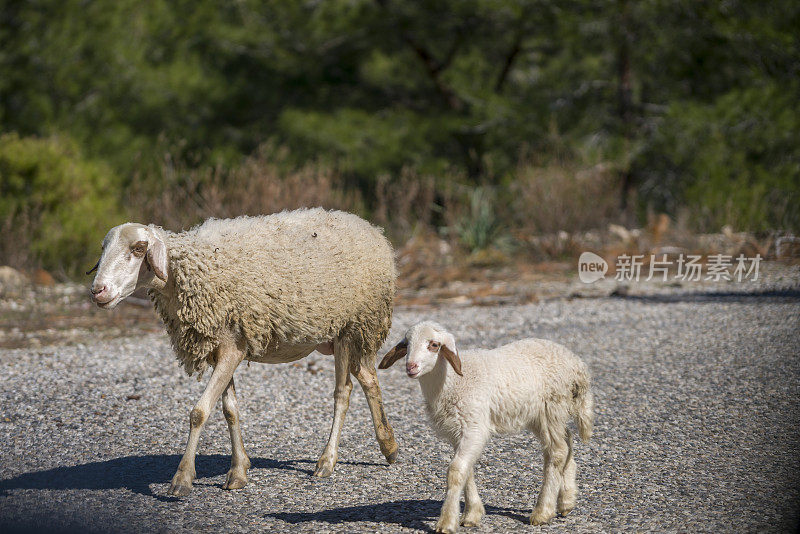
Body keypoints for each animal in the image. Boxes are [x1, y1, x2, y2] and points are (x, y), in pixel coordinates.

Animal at [88, 208, 400, 498]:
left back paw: (327, 461)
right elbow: (230, 410)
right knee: (368, 378)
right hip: (349, 334)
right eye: (103, 249)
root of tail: (372, 229)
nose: (97, 291)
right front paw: (238, 471)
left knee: (343, 392)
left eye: (139, 249)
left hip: (352, 324)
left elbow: (199, 412)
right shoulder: (222, 348)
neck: (190, 270)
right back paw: (389, 446)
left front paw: (182, 478)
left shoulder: (232, 349)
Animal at [378, 320, 592, 532]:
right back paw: (566, 501)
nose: (411, 366)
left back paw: (543, 511)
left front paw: (447, 521)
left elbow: (456, 471)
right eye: (406, 345)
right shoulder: (458, 432)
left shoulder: (473, 426)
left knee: (557, 451)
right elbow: (467, 471)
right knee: (566, 443)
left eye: (434, 345)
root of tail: (577, 365)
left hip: (551, 407)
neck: (452, 381)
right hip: (541, 415)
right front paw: (472, 514)